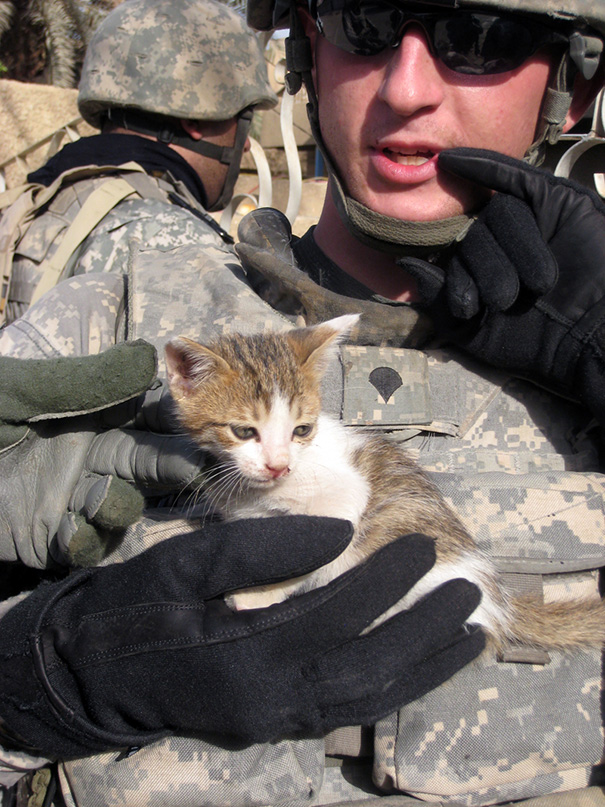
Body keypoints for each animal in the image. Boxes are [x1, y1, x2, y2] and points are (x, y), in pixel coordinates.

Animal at [163, 316, 604, 656]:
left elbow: (313, 554)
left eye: (301, 430)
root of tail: (499, 603)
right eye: (243, 431)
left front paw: (260, 595)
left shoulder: (343, 500)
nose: (279, 466)